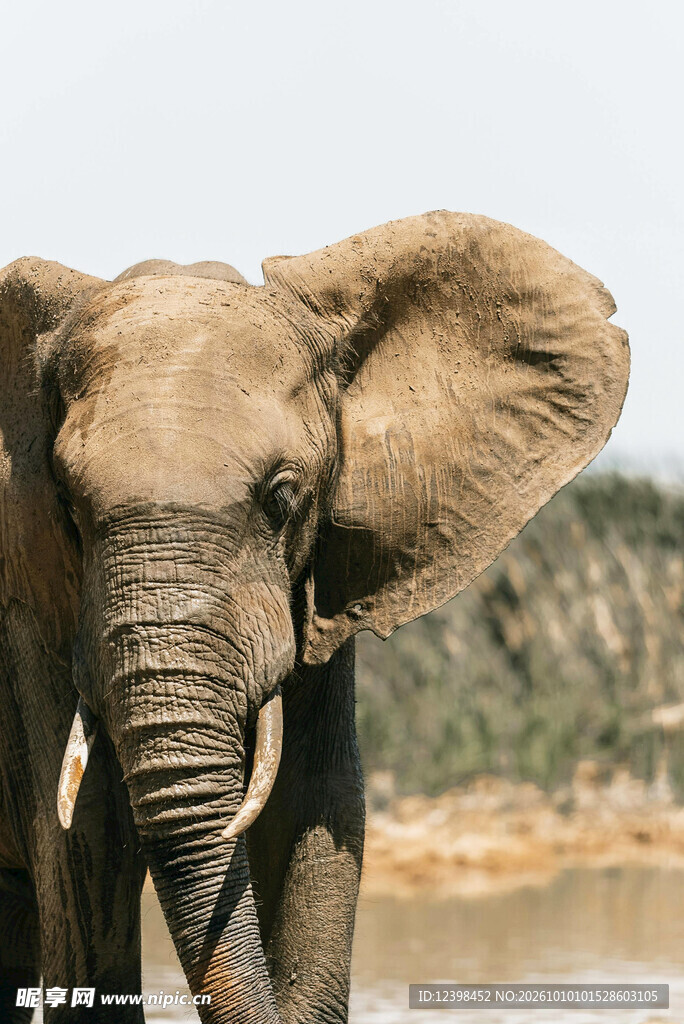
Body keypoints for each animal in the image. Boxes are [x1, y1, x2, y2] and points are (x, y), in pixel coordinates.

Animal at [0, 211, 629, 1023]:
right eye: (69, 509)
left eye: (282, 497)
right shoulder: (39, 609)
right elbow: (86, 847)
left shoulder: (319, 587)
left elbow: (316, 809)